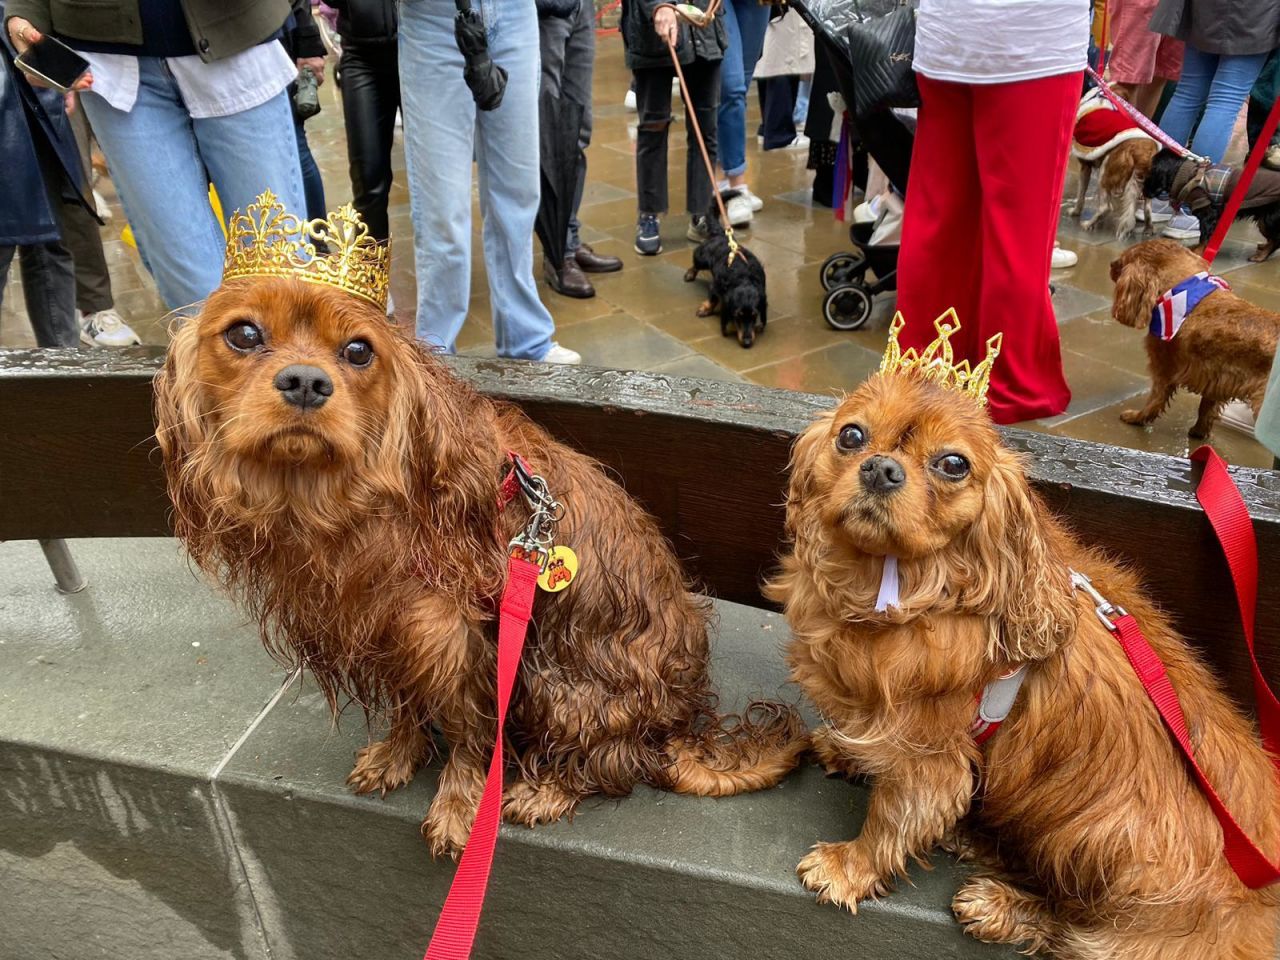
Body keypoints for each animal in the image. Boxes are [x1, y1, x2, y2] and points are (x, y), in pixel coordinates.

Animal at [686, 193, 762, 348]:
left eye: (754, 315)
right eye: (737, 316)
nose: (747, 343)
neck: (744, 278)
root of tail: (722, 234)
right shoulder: (715, 285)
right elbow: (712, 298)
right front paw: (705, 309)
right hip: (701, 257)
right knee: (695, 262)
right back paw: (690, 274)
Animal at [1105, 239, 1274, 437]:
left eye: (1123, 261)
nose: (1111, 264)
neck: (1181, 291)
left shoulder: (1164, 369)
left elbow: (1154, 401)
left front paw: (1137, 417)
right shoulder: (1217, 379)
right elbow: (1206, 409)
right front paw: (1199, 432)